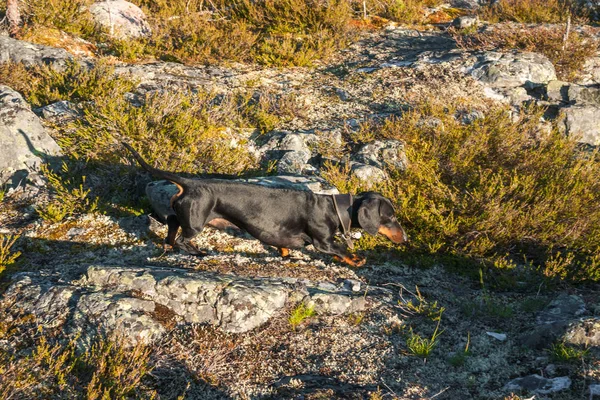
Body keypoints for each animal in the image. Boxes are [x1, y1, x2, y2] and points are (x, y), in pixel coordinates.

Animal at [122, 142, 406, 268]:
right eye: (390, 217)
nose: (404, 239)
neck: (334, 208)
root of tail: (189, 183)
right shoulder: (322, 242)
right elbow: (340, 249)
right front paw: (356, 258)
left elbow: (283, 246)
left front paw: (287, 255)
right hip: (196, 222)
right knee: (183, 237)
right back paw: (197, 252)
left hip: (186, 216)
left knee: (171, 222)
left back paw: (169, 244)